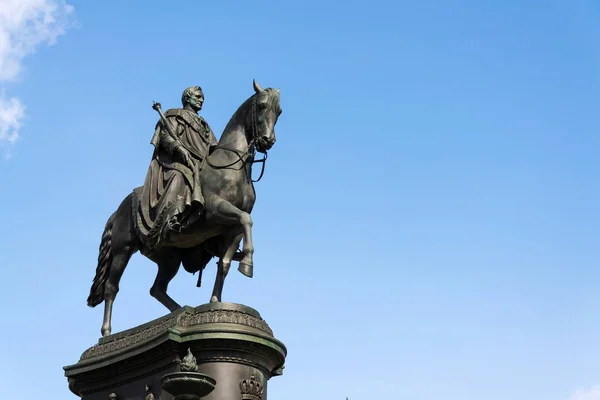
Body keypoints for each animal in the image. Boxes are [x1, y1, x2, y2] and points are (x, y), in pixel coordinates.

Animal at [85, 81, 282, 338]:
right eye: (261, 106)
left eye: (279, 112)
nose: (268, 141)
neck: (232, 166)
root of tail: (117, 211)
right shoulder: (215, 211)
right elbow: (247, 219)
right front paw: (247, 264)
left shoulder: (232, 231)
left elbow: (225, 261)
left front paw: (217, 298)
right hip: (123, 250)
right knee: (111, 287)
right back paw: (107, 333)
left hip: (169, 258)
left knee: (157, 289)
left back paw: (179, 313)